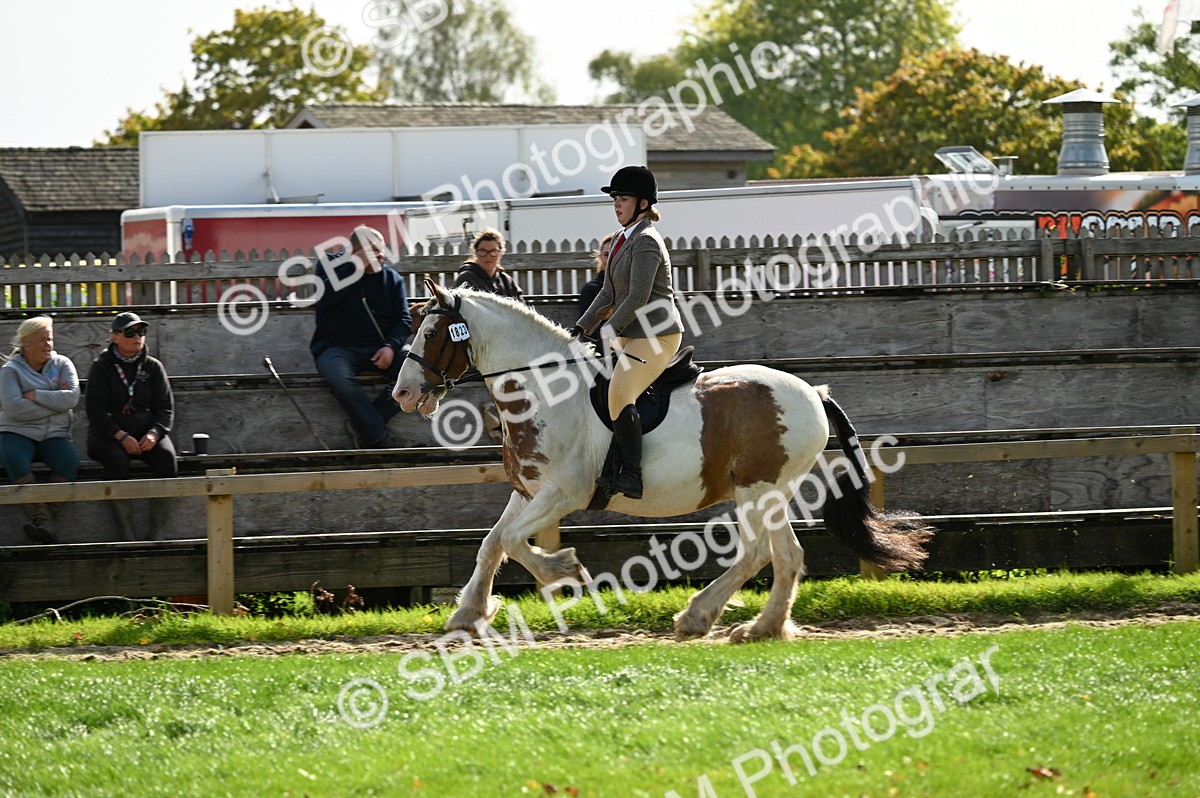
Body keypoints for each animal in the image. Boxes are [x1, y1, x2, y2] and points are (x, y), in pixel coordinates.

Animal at [392, 279, 933, 642]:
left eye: (433, 332)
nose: (402, 394)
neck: (543, 389)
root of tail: (814, 393)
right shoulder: (528, 491)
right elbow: (492, 544)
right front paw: (468, 615)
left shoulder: (563, 493)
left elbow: (511, 541)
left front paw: (565, 569)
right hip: (764, 494)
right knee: (778, 555)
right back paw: (751, 625)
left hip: (761, 490)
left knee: (767, 553)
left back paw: (716, 620)